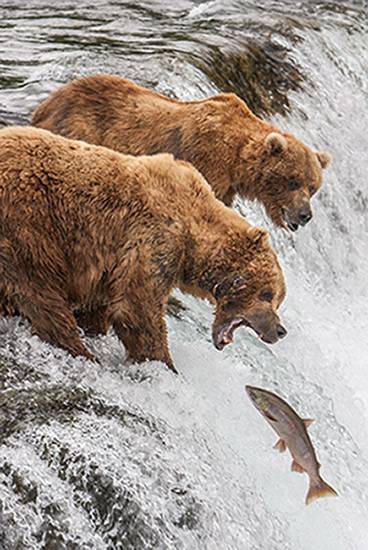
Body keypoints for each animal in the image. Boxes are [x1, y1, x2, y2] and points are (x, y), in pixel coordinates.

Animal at [0, 126, 288, 374]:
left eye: (278, 298)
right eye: (266, 293)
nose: (280, 330)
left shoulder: (110, 265)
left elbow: (102, 305)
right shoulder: (154, 237)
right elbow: (138, 306)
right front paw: (165, 366)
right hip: (31, 222)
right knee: (40, 289)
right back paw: (79, 350)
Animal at [31, 73, 330, 231]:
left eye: (313, 187)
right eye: (293, 181)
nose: (305, 215)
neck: (236, 159)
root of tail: (46, 105)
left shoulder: (227, 185)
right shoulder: (207, 161)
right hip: (80, 132)